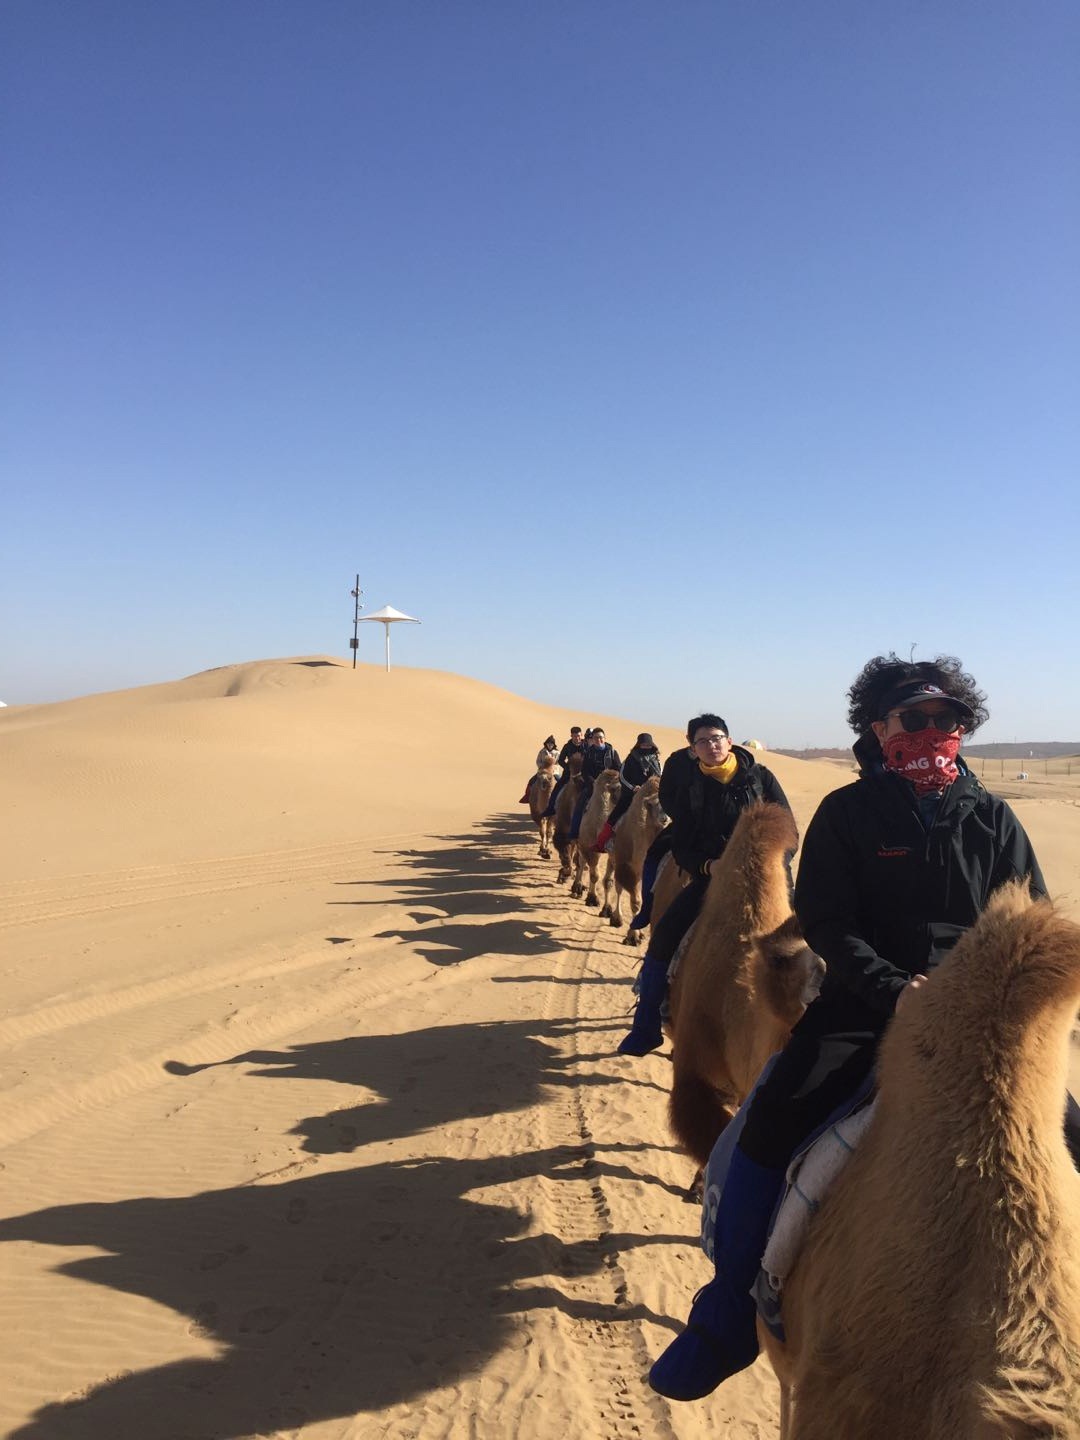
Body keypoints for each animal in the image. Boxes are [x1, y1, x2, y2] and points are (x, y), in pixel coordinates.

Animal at [573, 768, 622, 912]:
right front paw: (592, 899)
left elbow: (608, 881)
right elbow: (594, 875)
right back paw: (577, 887)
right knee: (581, 862)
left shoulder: (612, 853)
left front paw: (607, 909)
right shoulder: (589, 847)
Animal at [610, 776, 668, 941]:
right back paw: (616, 918)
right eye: (653, 804)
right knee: (617, 887)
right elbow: (635, 902)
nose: (664, 818)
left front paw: (638, 933)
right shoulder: (629, 868)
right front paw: (633, 936)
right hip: (615, 857)